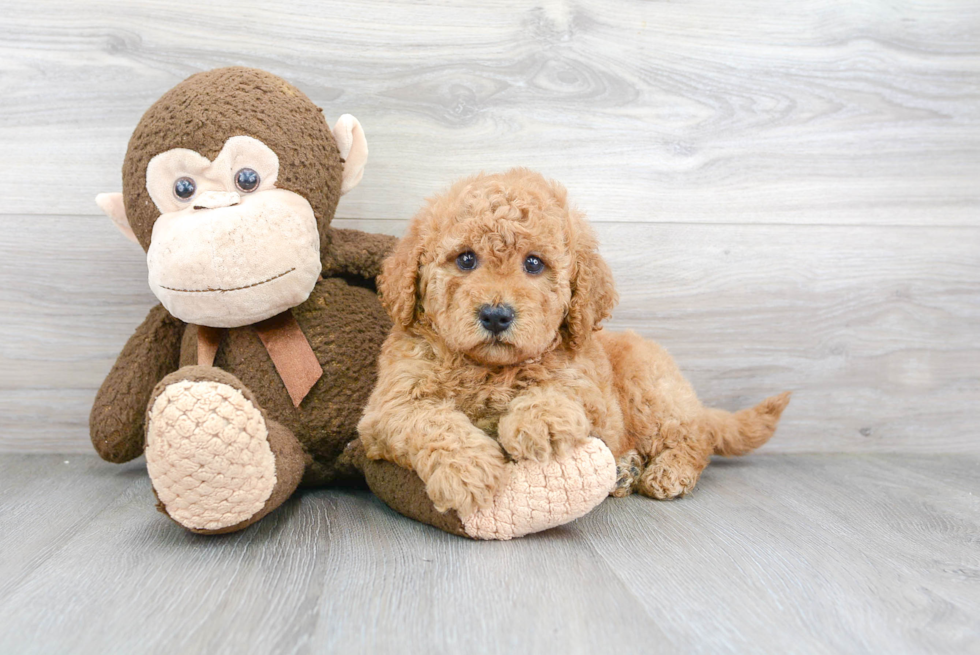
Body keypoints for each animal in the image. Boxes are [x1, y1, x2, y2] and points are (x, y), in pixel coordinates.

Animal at [356, 169, 792, 516]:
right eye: (465, 259)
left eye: (533, 263)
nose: (496, 315)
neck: (490, 370)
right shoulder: (385, 410)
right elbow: (429, 420)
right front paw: (468, 471)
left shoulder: (595, 395)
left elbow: (564, 391)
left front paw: (538, 422)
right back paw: (625, 471)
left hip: (650, 393)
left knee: (695, 436)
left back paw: (669, 472)